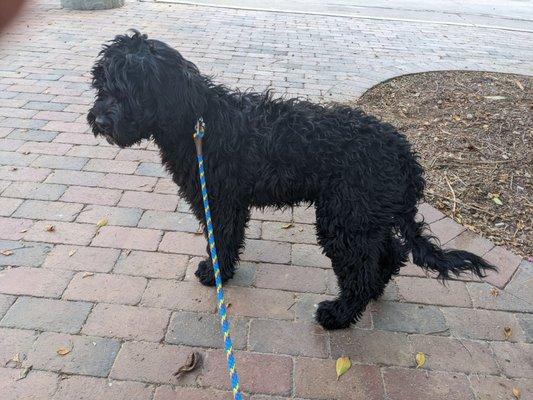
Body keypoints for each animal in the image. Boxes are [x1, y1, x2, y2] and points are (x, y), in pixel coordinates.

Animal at [88, 31, 494, 330]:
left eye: (128, 87)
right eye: (101, 84)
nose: (100, 120)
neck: (198, 119)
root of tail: (404, 153)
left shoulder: (219, 201)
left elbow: (221, 241)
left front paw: (216, 273)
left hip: (344, 218)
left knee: (361, 270)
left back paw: (338, 314)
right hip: (363, 214)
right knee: (390, 253)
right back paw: (375, 290)